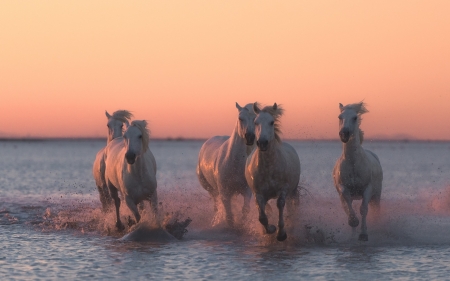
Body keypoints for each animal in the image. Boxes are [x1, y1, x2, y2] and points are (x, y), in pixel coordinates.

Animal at [244, 103, 300, 241]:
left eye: (272, 122)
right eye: (256, 122)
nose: (262, 143)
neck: (268, 168)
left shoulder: (284, 189)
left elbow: (280, 205)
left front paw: (281, 234)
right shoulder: (258, 193)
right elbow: (262, 216)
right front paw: (270, 229)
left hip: (293, 191)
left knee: (291, 207)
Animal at [330, 101, 384, 240]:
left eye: (355, 117)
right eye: (340, 117)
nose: (344, 134)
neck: (353, 164)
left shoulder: (367, 188)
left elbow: (363, 210)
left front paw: (363, 234)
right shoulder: (343, 188)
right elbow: (349, 207)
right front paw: (353, 222)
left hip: (376, 195)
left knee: (375, 209)